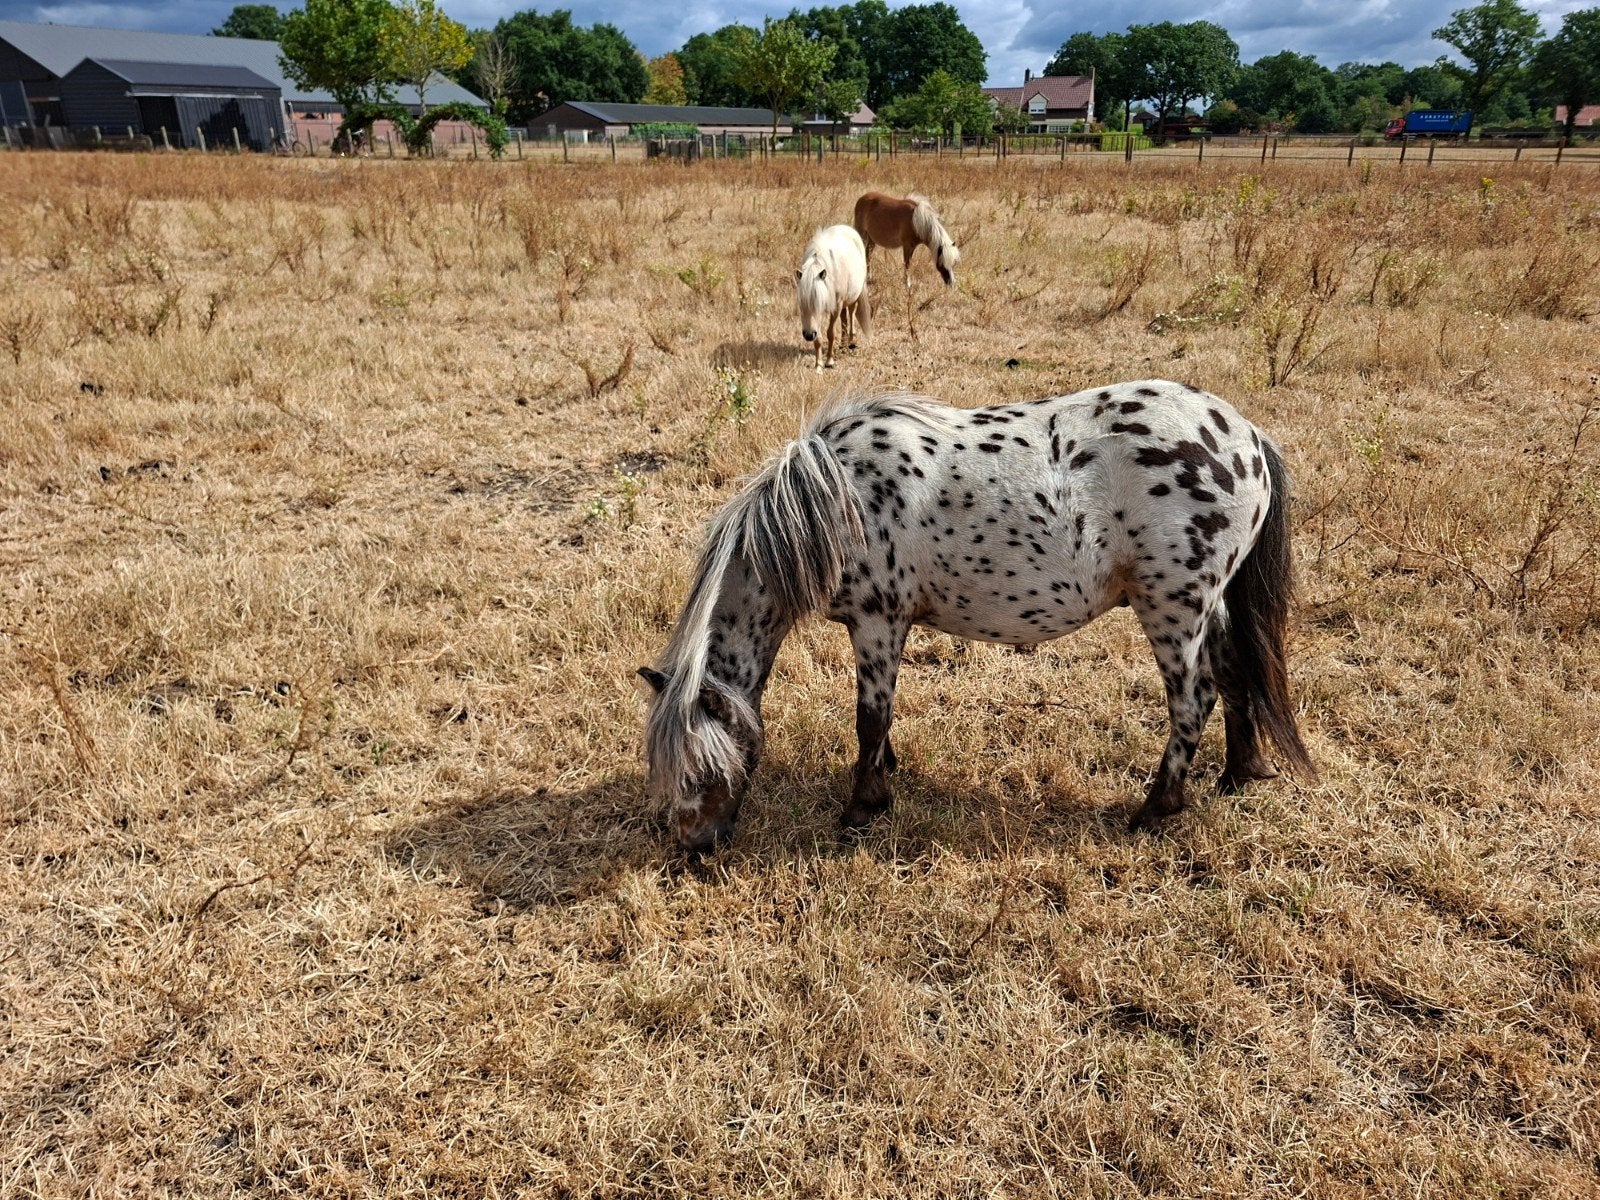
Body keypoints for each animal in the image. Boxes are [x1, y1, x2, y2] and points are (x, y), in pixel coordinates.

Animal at [639, 380, 1316, 852]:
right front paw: (886, 774)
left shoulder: (877, 620)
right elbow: (881, 719)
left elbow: (869, 717)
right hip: (1208, 604)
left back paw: (1156, 808)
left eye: (702, 770)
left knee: (1193, 699)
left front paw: (861, 809)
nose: (694, 848)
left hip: (1173, 608)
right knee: (1234, 674)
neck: (837, 502)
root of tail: (1248, 437)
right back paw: (1238, 775)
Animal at [795, 225, 870, 372]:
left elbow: (830, 333)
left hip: (852, 296)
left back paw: (851, 341)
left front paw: (829, 361)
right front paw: (818, 364)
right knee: (844, 318)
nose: (808, 335)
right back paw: (843, 343)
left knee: (851, 313)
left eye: (816, 303)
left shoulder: (835, 306)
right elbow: (819, 337)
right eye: (801, 304)